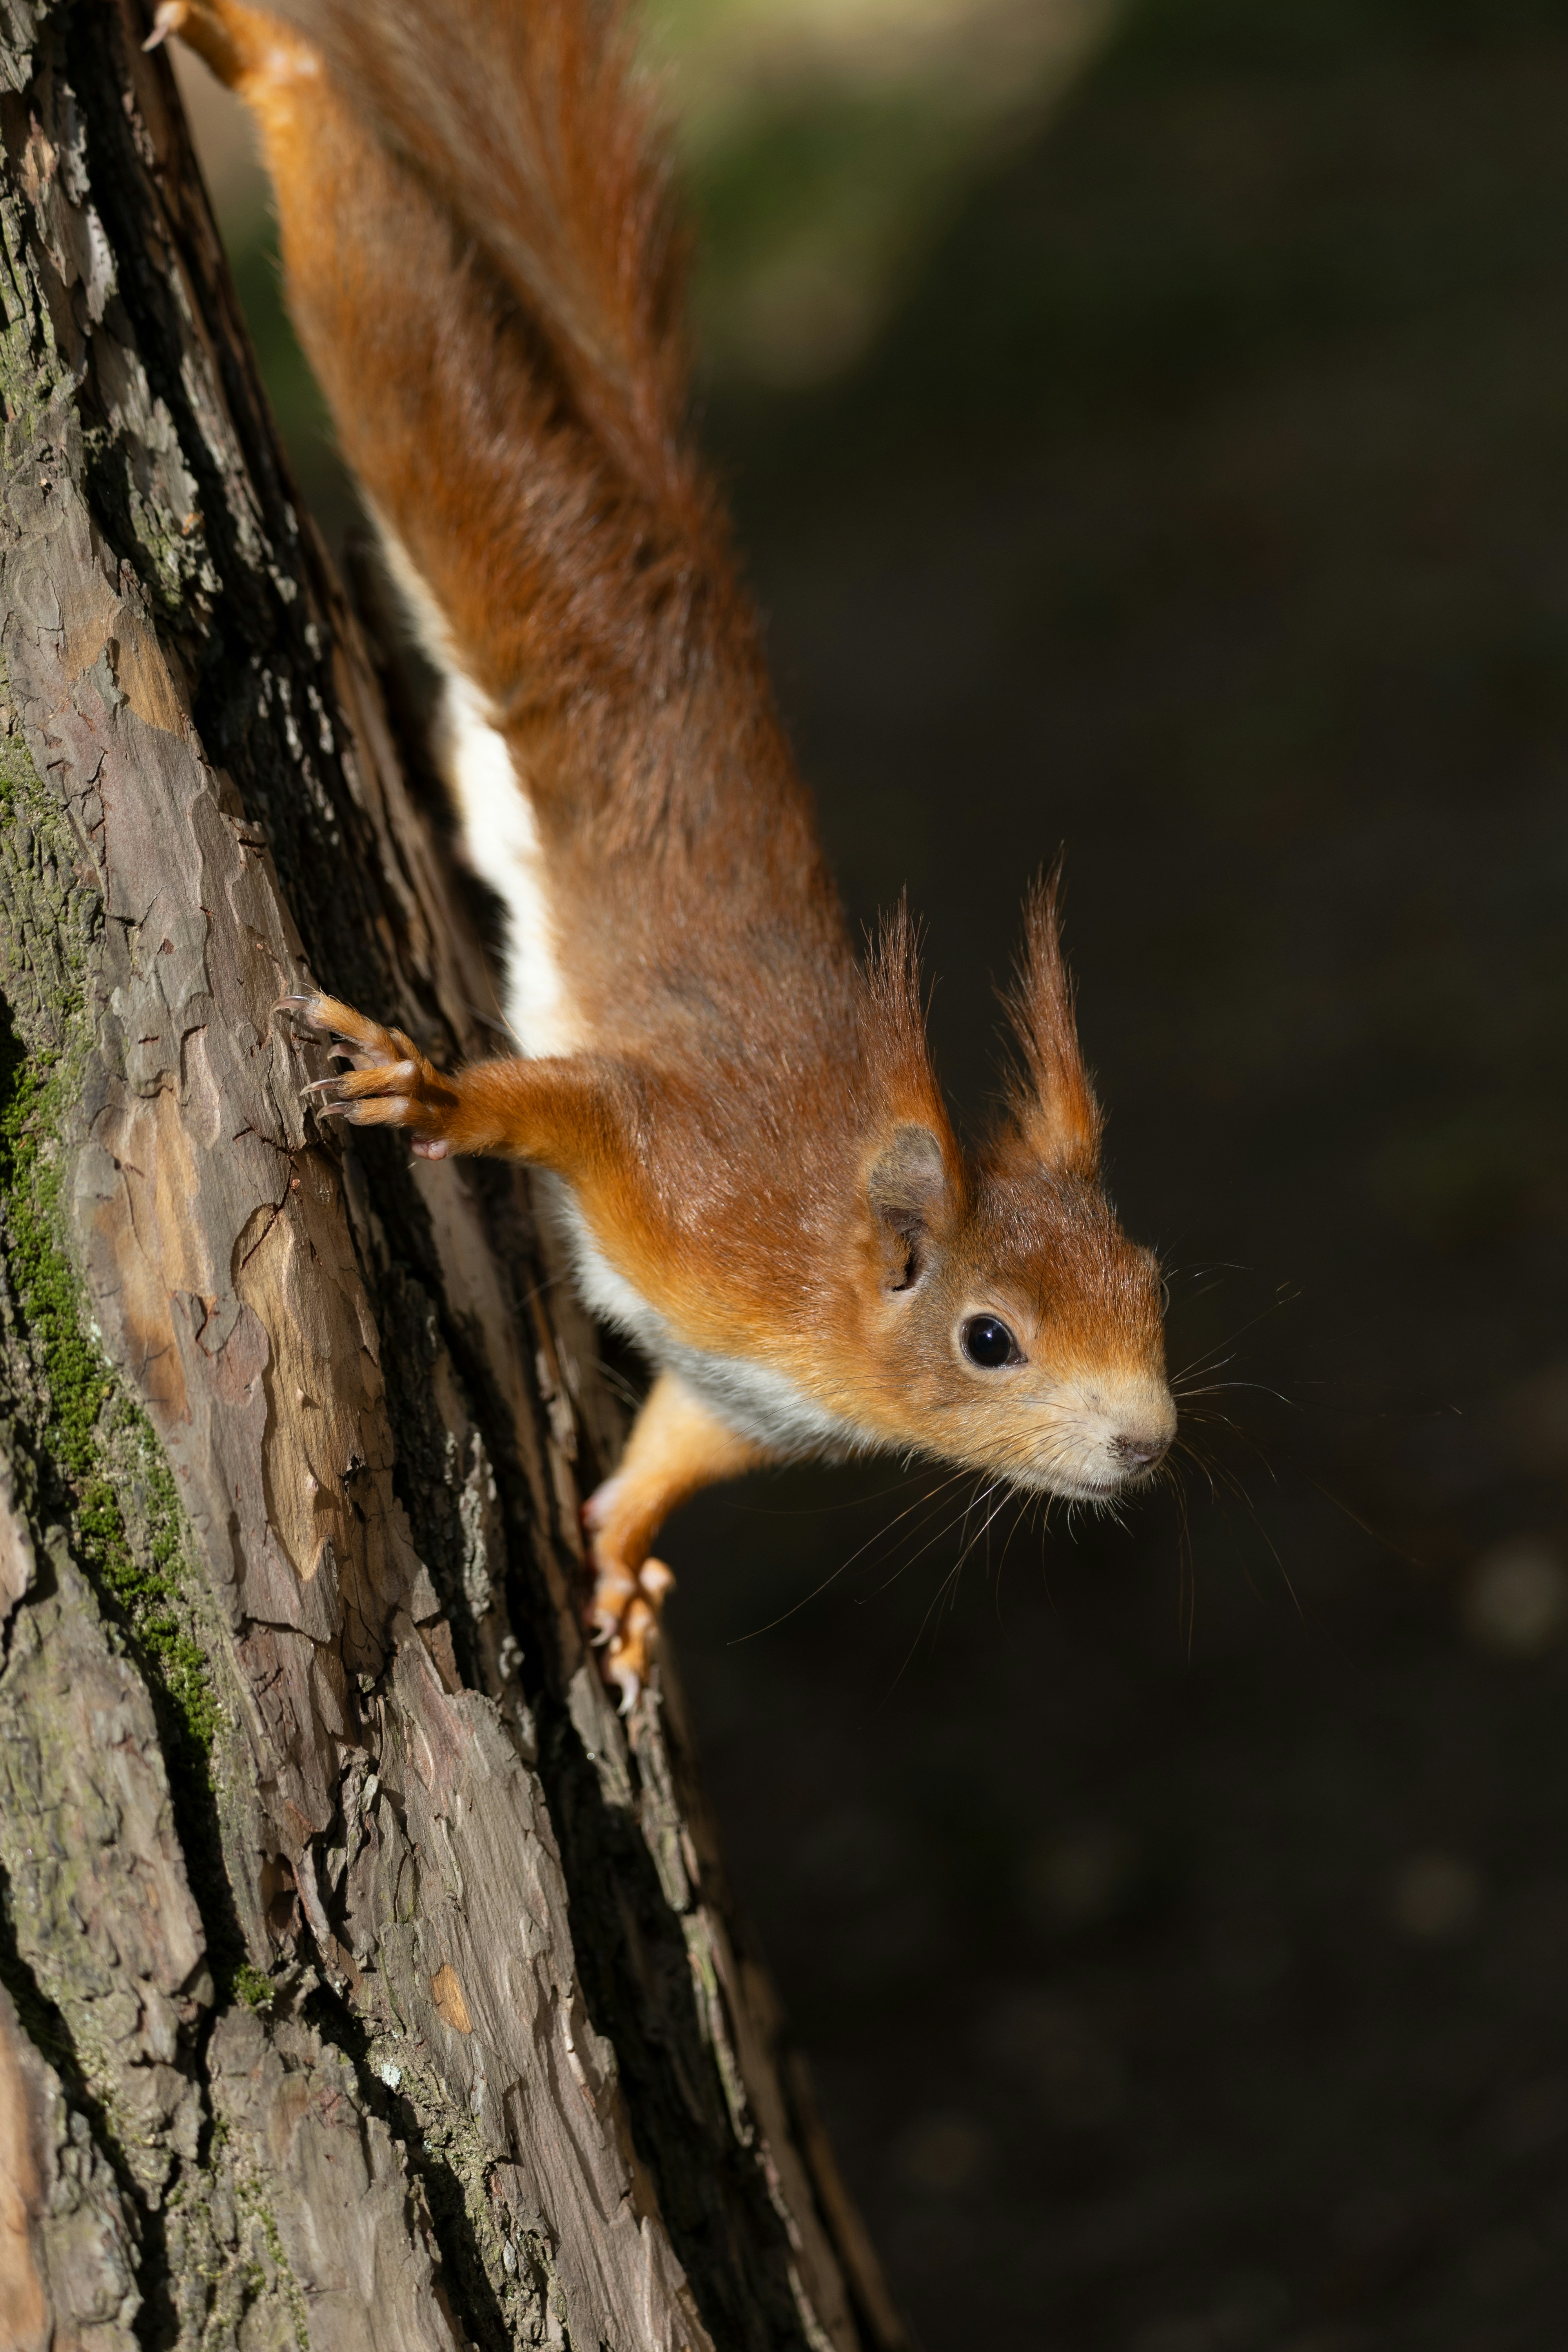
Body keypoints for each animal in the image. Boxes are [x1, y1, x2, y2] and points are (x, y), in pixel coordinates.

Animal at [153, 0, 1177, 1709]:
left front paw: (625, 1565)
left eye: (1156, 1287)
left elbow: (668, 1452)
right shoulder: (693, 1193)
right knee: (392, 284)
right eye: (991, 1340)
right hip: (480, 498)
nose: (1149, 1446)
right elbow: (563, 1109)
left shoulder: (730, 1390)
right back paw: (264, 63)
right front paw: (429, 1092)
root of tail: (672, 579)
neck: (827, 1296)